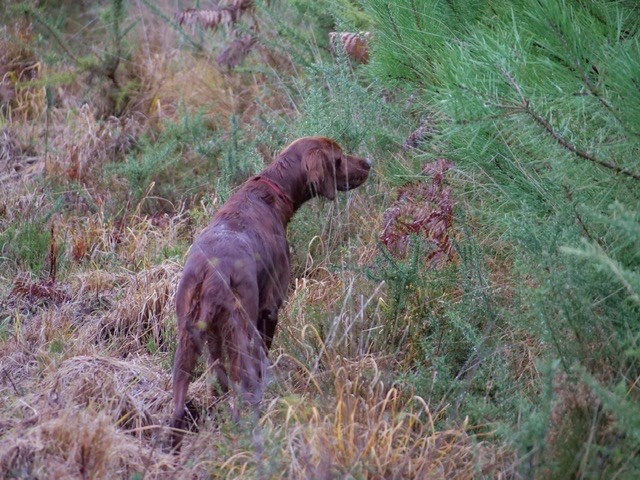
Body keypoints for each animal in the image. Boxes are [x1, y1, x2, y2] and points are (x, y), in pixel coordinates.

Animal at [170, 136, 370, 446]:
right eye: (338, 159)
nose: (368, 163)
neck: (270, 193)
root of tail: (210, 273)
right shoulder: (270, 307)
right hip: (241, 327)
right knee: (244, 385)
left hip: (188, 337)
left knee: (182, 400)